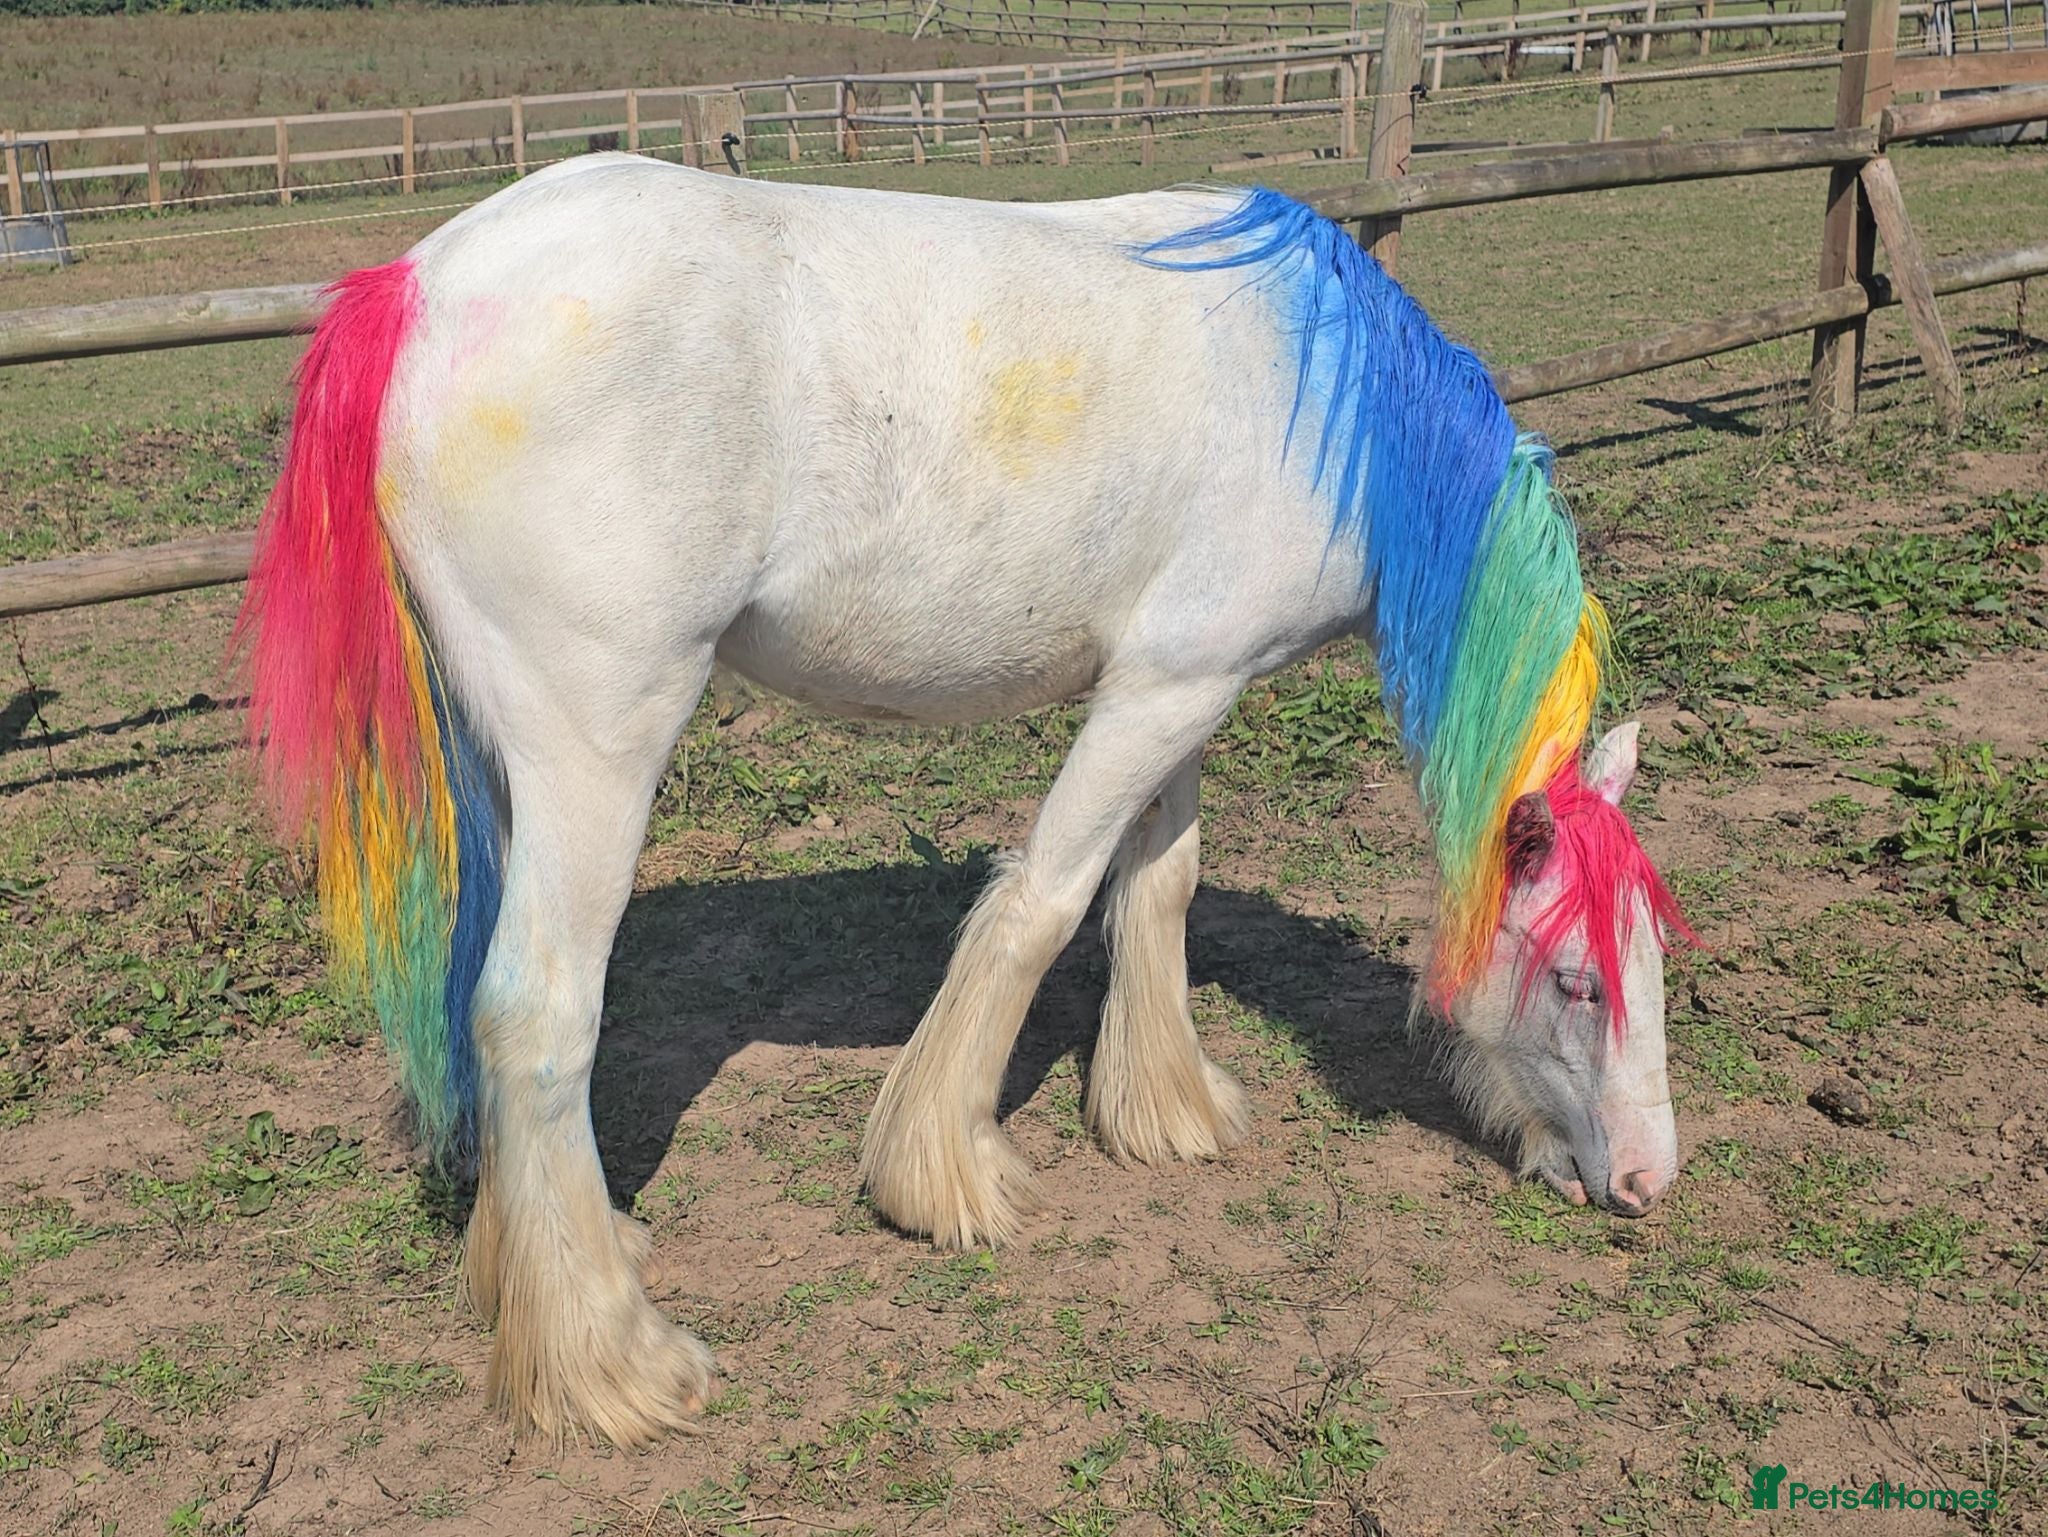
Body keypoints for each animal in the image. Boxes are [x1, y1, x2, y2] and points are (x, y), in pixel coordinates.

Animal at [236, 155, 1691, 1445]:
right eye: (1575, 978)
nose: (1645, 1179)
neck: (1337, 406)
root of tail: (421, 285)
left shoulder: (1182, 687)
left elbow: (1154, 887)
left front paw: (1164, 1113)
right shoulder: (1159, 692)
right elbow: (1043, 901)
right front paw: (944, 1175)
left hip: (505, 760)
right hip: (597, 751)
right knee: (534, 1016)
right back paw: (611, 1359)